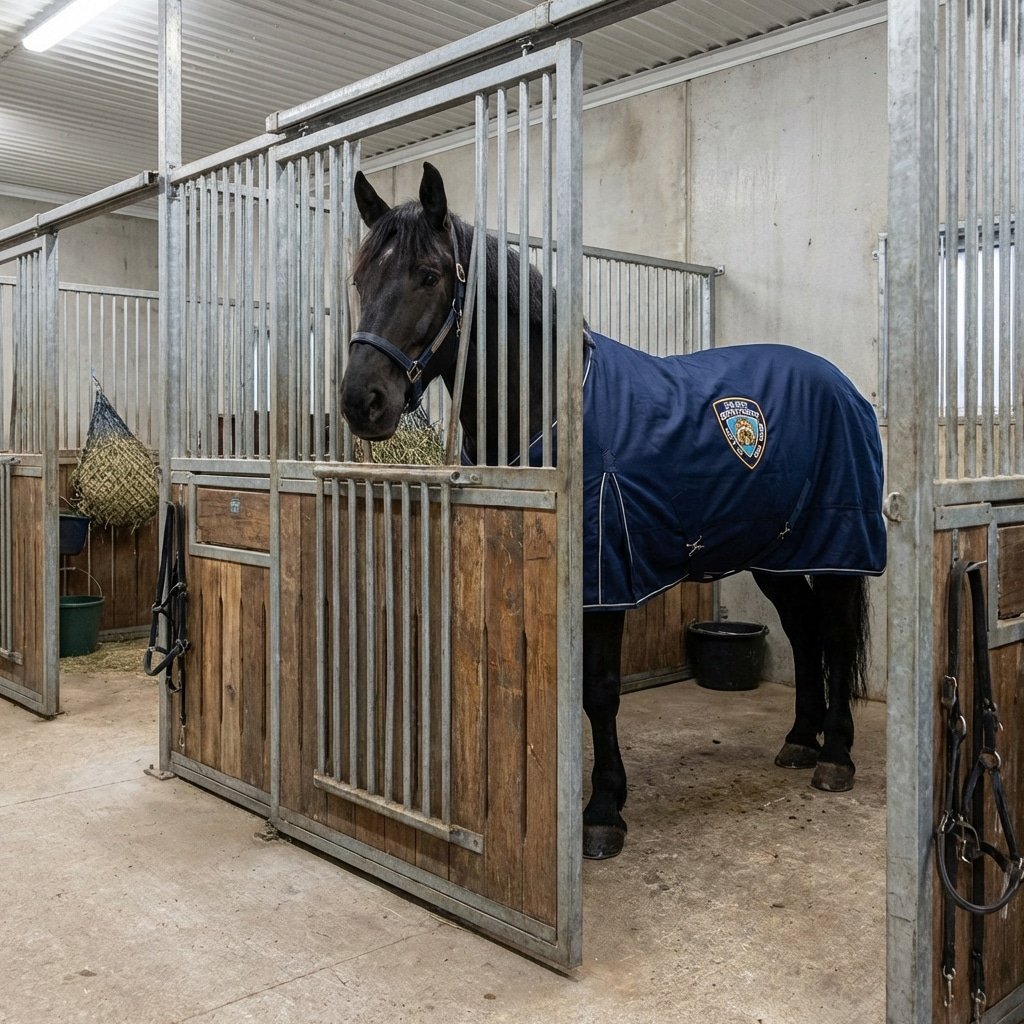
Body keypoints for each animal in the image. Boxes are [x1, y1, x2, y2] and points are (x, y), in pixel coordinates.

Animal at [340, 162, 886, 861]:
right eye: (361, 277)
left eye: (430, 275)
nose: (362, 400)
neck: (550, 408)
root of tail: (846, 388)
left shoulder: (604, 578)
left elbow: (598, 691)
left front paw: (602, 811)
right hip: (776, 553)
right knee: (802, 631)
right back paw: (799, 740)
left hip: (839, 545)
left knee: (836, 635)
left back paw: (836, 756)